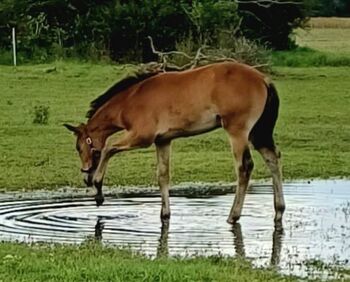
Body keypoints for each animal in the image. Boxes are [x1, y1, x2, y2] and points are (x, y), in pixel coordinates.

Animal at [64, 62, 286, 226]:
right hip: (259, 134)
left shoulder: (142, 137)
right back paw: (279, 211)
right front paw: (165, 214)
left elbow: (108, 149)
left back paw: (233, 216)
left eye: (79, 147)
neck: (131, 100)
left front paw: (98, 189)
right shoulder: (163, 140)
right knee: (273, 159)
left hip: (237, 133)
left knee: (244, 168)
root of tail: (263, 79)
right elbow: (163, 175)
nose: (85, 176)